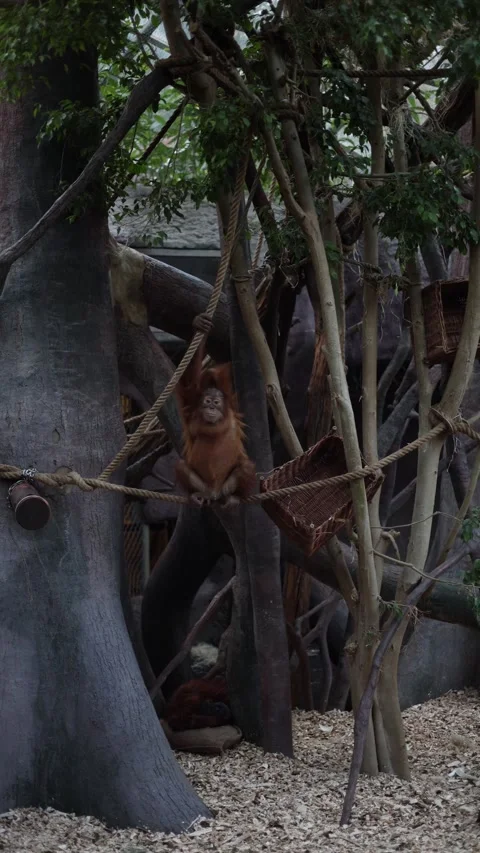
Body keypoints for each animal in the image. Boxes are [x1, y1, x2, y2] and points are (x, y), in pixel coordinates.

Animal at [175, 339, 256, 508]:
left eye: (216, 402)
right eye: (207, 402)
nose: (211, 407)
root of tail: (215, 492)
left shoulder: (231, 403)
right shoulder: (190, 407)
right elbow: (188, 384)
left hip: (225, 486)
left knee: (246, 467)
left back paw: (234, 497)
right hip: (204, 486)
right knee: (180, 466)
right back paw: (197, 496)